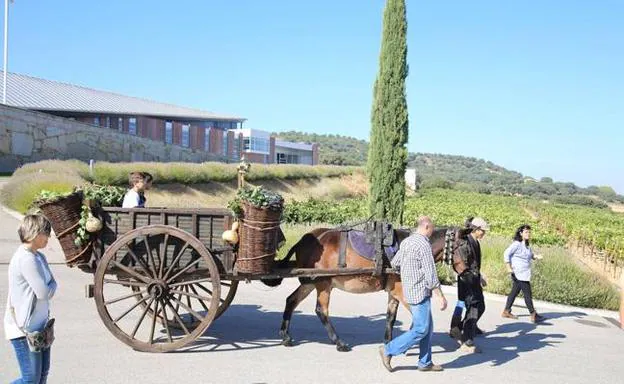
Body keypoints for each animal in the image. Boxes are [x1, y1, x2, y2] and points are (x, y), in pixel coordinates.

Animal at [260, 226, 460, 352]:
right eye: (464, 245)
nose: (468, 273)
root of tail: (305, 240)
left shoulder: (394, 292)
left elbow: (391, 317)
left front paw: (389, 343)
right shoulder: (402, 291)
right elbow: (419, 317)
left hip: (310, 281)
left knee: (292, 300)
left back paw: (285, 336)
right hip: (324, 283)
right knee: (321, 310)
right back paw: (339, 342)